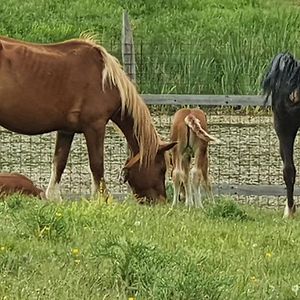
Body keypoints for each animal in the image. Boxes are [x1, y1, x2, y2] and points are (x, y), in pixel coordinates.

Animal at [0, 34, 176, 204]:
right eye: (162, 168)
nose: (162, 202)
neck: (106, 81)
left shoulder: (66, 130)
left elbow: (59, 162)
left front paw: (54, 198)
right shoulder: (95, 126)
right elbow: (97, 165)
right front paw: (102, 199)